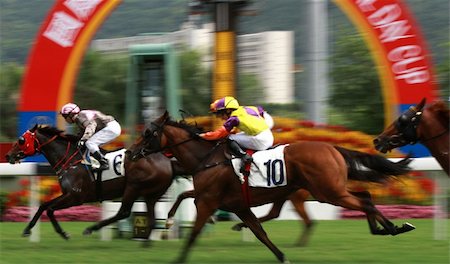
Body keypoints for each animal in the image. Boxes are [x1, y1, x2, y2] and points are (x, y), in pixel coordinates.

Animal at [4, 124, 182, 241]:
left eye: (21, 140)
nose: (8, 155)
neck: (71, 161)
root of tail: (168, 161)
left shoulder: (75, 197)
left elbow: (50, 210)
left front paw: (64, 233)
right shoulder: (67, 194)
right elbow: (43, 206)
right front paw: (27, 230)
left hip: (134, 187)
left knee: (124, 212)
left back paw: (91, 228)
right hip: (151, 193)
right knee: (150, 218)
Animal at [134, 112, 414, 264]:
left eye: (148, 133)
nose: (134, 152)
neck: (207, 158)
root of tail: (332, 147)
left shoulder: (208, 201)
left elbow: (193, 233)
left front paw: (176, 252)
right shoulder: (231, 203)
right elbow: (260, 233)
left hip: (327, 192)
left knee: (364, 201)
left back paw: (393, 227)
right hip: (327, 190)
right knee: (365, 196)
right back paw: (386, 228)